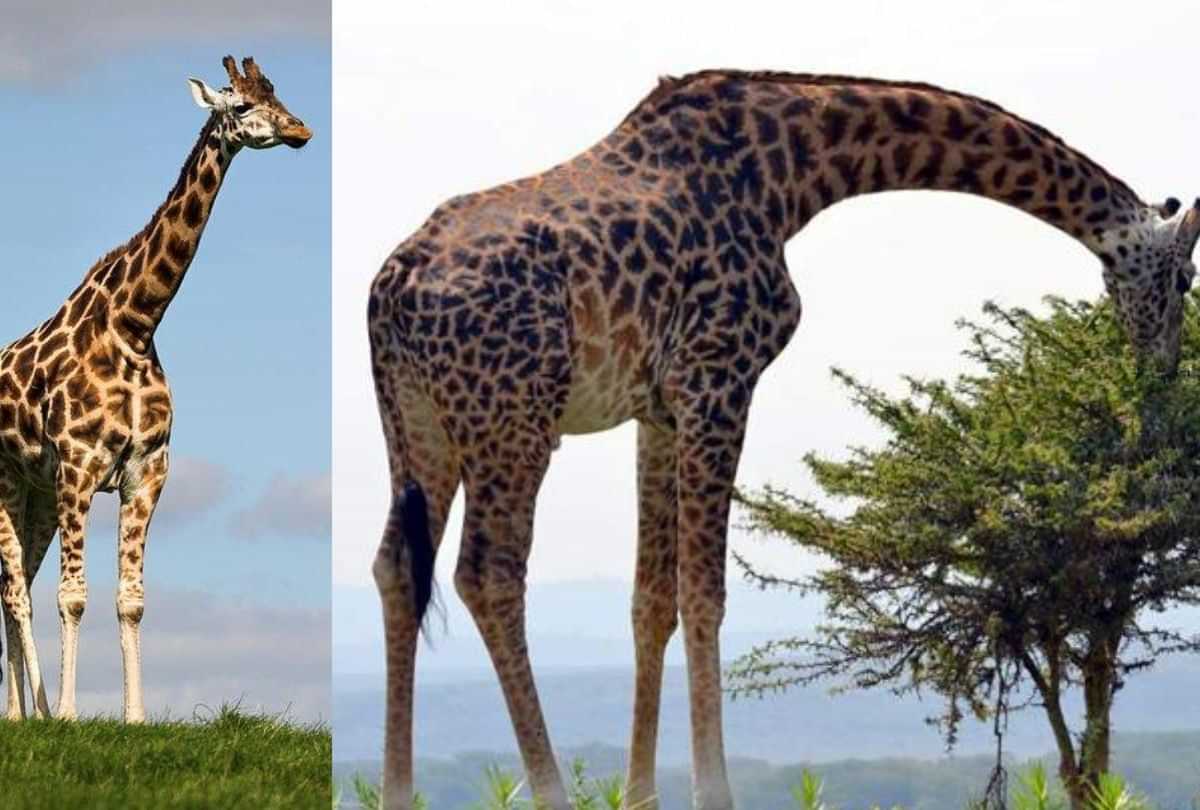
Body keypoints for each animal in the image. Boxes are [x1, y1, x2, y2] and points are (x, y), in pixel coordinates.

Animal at [0, 55, 310, 723]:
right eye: (240, 106)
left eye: (276, 93)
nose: (301, 130)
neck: (135, 324)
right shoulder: (79, 467)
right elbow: (73, 595)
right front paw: (70, 715)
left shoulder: (146, 471)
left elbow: (131, 599)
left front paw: (134, 717)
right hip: (9, 480)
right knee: (16, 590)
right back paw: (38, 712)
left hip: (36, 493)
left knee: (14, 586)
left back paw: (18, 713)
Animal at [366, 71, 1198, 810]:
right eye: (1186, 280)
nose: (1159, 375)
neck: (796, 169)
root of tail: (390, 294)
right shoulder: (719, 378)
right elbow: (703, 594)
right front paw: (714, 792)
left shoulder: (659, 410)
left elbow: (651, 602)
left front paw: (641, 797)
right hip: (515, 421)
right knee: (488, 576)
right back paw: (549, 794)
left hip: (420, 430)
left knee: (396, 569)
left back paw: (398, 793)